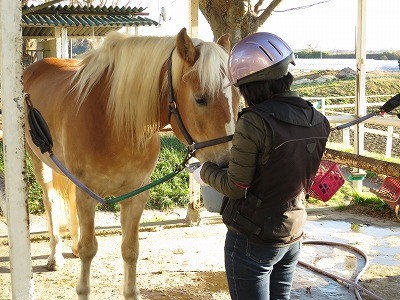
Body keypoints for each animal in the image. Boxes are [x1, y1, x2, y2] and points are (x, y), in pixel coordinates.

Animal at [21, 27, 239, 298]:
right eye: (200, 99)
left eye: (237, 97)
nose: (228, 164)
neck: (114, 122)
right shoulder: (87, 195)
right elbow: (90, 249)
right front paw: (83, 288)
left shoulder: (136, 195)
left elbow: (130, 249)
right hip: (39, 162)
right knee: (51, 203)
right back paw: (55, 256)